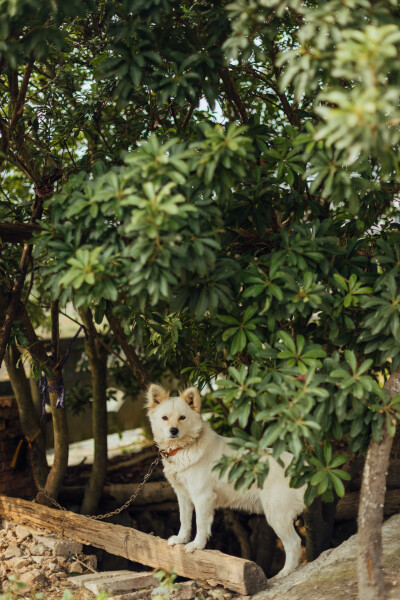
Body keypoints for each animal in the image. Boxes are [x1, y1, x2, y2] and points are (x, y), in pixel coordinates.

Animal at [147, 384, 306, 576]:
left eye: (182, 417)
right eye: (165, 418)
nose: (173, 431)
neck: (186, 447)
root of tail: (301, 467)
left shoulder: (202, 497)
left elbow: (200, 524)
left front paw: (197, 545)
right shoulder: (183, 496)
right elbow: (184, 520)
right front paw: (181, 539)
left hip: (276, 515)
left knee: (294, 544)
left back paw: (285, 572)